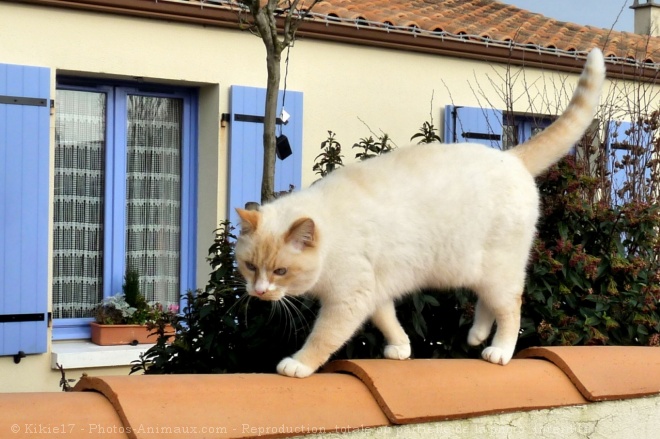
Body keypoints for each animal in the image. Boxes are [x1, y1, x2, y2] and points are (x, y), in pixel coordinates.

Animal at [235, 48, 604, 378]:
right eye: (250, 266)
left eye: (280, 271)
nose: (259, 291)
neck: (330, 233)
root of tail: (511, 156)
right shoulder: (374, 291)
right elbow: (388, 320)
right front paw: (401, 348)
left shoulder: (348, 298)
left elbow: (323, 338)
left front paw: (298, 364)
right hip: (479, 271)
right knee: (487, 304)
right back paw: (476, 336)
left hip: (500, 272)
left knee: (511, 308)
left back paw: (499, 351)